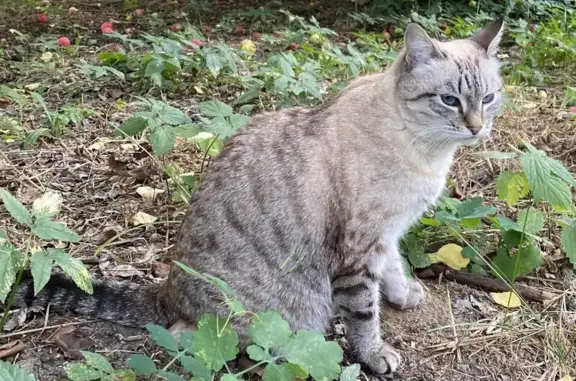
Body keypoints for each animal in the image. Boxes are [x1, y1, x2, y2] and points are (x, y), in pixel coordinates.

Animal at [10, 20, 504, 374]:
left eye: (490, 98)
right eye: (449, 100)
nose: (477, 129)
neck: (427, 153)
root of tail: (166, 289)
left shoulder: (387, 234)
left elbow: (395, 268)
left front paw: (404, 295)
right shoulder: (360, 244)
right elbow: (365, 313)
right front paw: (374, 354)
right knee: (188, 336)